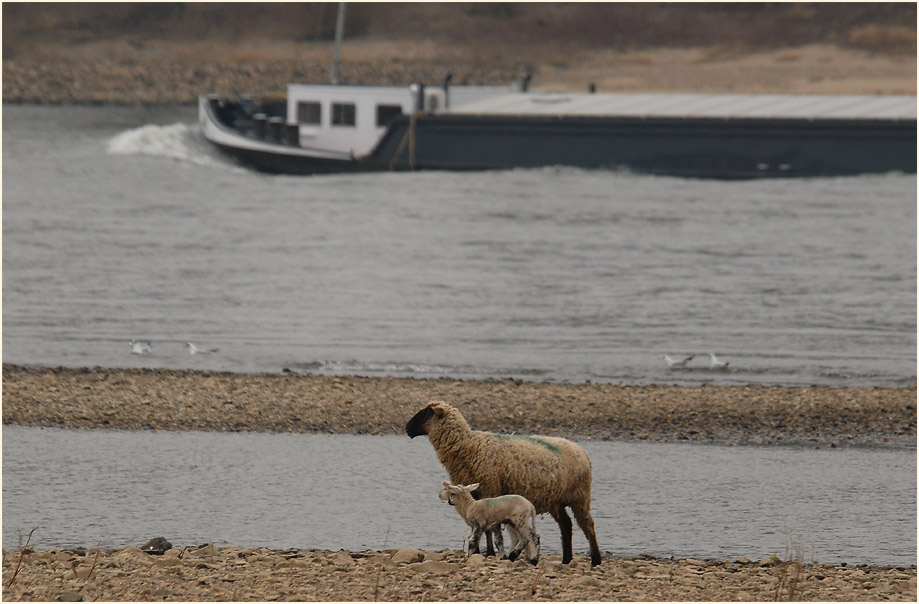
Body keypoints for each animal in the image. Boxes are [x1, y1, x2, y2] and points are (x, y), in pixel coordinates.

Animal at [404, 402, 604, 568]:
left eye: (426, 412)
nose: (406, 428)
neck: (470, 446)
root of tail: (582, 451)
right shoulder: (476, 493)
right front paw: (480, 551)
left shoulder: (490, 490)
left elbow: (488, 530)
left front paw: (489, 553)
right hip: (556, 499)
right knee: (566, 525)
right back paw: (566, 559)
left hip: (580, 495)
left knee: (587, 525)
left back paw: (595, 560)